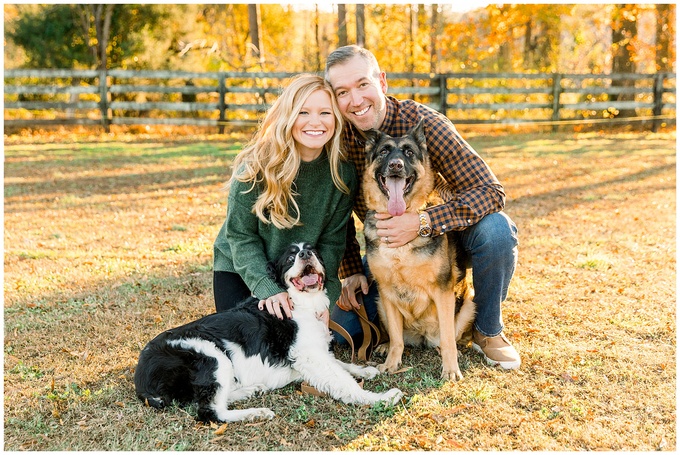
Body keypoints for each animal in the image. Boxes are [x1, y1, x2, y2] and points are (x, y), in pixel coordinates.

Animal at [364, 120, 476, 382]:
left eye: (408, 152)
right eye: (384, 152)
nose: (395, 165)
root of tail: (422, 336)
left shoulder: (442, 291)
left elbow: (448, 338)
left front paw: (450, 369)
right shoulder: (386, 291)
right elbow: (396, 338)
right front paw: (391, 363)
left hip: (469, 302)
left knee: (450, 338)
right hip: (379, 303)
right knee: (398, 336)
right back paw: (385, 345)